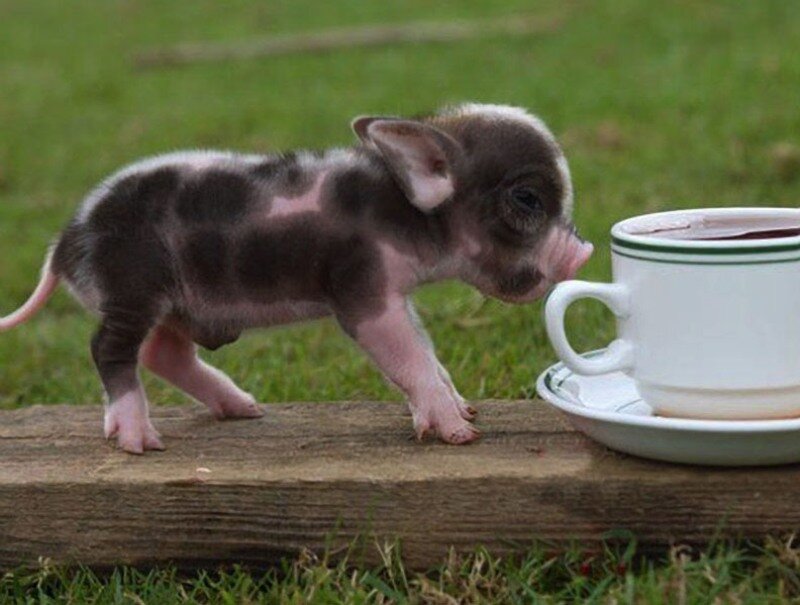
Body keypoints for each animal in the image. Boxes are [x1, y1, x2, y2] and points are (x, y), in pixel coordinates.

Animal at [0, 103, 592, 454]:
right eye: (526, 198)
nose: (583, 253)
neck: (399, 211)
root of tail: (65, 243)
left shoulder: (394, 291)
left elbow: (425, 350)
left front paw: (464, 406)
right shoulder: (360, 289)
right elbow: (408, 356)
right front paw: (460, 432)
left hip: (173, 303)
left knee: (161, 351)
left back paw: (244, 409)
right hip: (131, 287)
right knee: (110, 348)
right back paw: (140, 441)